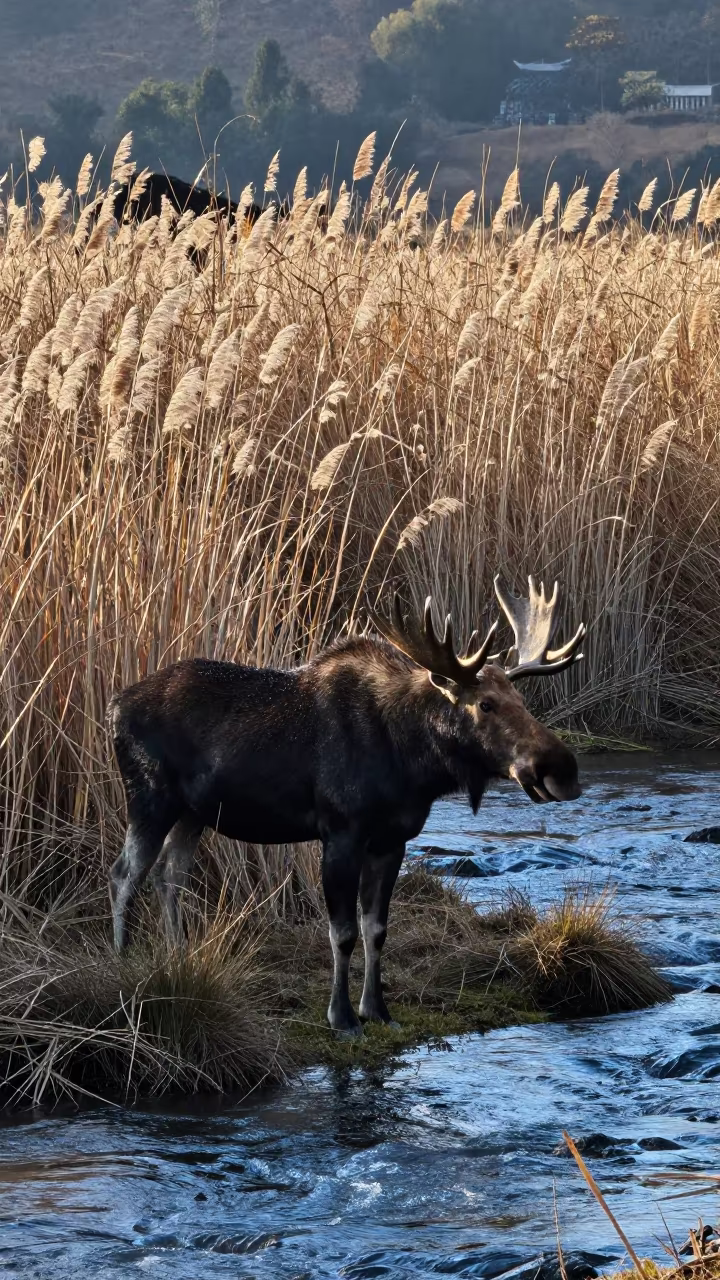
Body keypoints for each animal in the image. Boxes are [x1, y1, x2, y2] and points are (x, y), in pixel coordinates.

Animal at [108, 576, 585, 1036]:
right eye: (485, 704)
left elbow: (377, 929)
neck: (413, 763)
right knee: (124, 874)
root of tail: (114, 706)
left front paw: (378, 1010)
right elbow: (343, 932)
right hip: (149, 795)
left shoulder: (393, 840)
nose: (562, 769)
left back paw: (177, 957)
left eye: (522, 701)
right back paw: (121, 961)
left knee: (169, 875)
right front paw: (342, 1018)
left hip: (194, 813)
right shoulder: (341, 832)